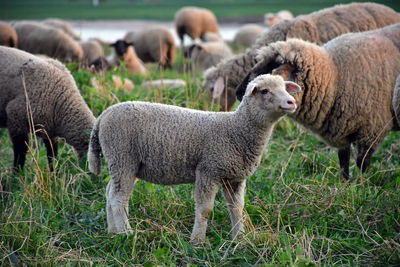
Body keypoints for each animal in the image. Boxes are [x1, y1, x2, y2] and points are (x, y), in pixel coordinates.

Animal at [87, 74, 300, 244]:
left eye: (284, 87)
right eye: (265, 91)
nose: (291, 102)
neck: (237, 129)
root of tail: (103, 115)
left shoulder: (234, 178)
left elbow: (237, 209)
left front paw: (240, 239)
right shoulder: (208, 170)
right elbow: (205, 210)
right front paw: (197, 241)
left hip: (124, 164)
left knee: (110, 192)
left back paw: (113, 232)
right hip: (122, 156)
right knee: (118, 198)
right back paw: (127, 233)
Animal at [236, 22, 400, 180]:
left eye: (269, 70)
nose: (239, 92)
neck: (334, 76)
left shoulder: (373, 129)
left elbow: (362, 162)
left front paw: (362, 183)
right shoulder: (341, 131)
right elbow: (343, 159)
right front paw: (345, 183)